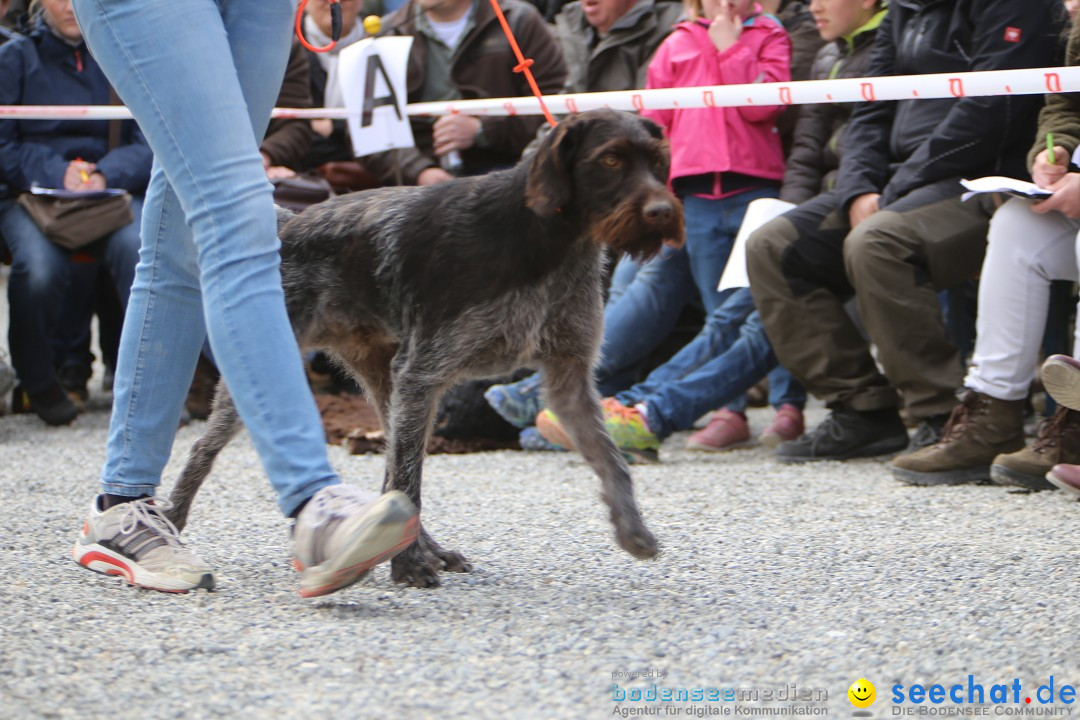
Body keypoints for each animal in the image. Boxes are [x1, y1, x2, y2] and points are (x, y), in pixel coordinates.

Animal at [165, 110, 686, 587]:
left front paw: (632, 529)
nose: (663, 212)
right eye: (611, 159)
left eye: (659, 162)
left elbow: (611, 459)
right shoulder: (424, 374)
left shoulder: (567, 379)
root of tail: (290, 226)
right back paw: (171, 518)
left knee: (391, 469)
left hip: (387, 384)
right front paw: (408, 565)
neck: (549, 240)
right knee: (206, 450)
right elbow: (409, 482)